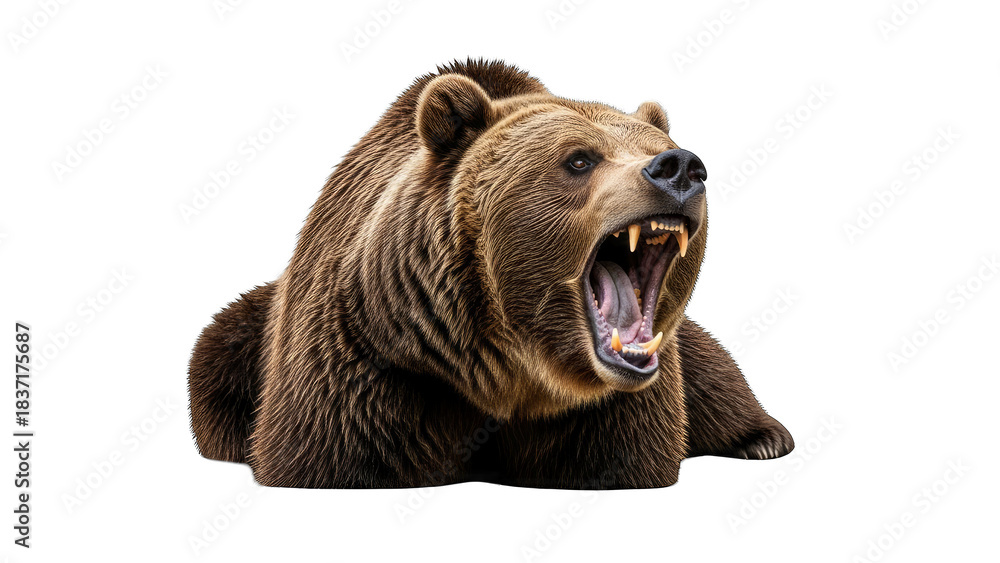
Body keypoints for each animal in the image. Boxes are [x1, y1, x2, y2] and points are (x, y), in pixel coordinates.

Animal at [188, 59, 793, 489]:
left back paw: (765, 437)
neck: (504, 368)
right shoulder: (367, 360)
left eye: (657, 145)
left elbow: (619, 457)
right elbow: (335, 456)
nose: (680, 168)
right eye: (579, 159)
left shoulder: (613, 403)